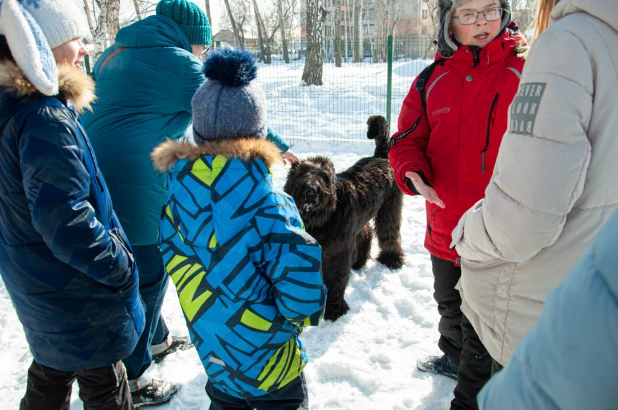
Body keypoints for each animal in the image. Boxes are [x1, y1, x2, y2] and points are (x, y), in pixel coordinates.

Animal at [284, 114, 404, 320]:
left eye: (324, 176)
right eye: (300, 174)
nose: (311, 190)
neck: (325, 217)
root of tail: (380, 156)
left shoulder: (338, 252)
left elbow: (336, 280)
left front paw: (334, 309)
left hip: (389, 210)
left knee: (390, 233)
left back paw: (392, 259)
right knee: (366, 232)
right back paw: (359, 261)